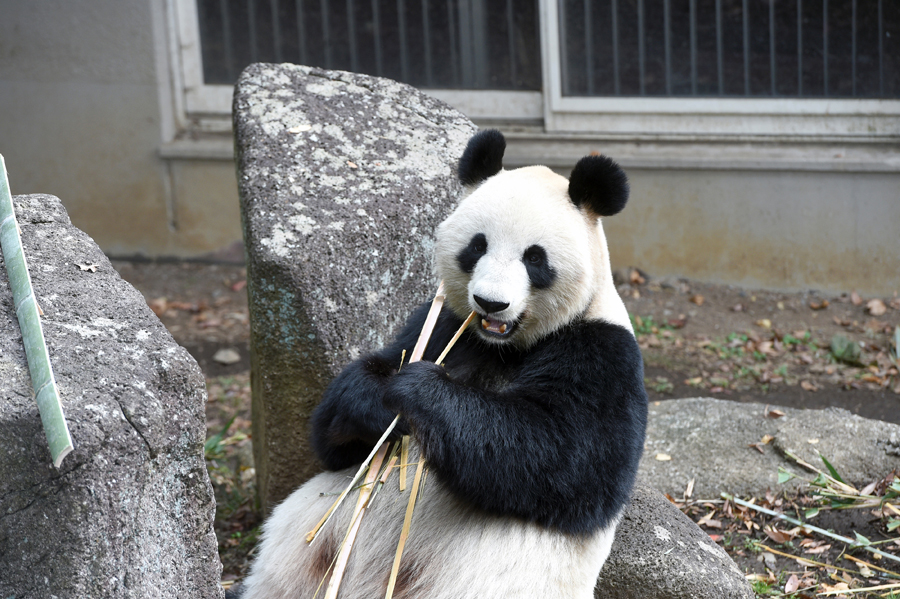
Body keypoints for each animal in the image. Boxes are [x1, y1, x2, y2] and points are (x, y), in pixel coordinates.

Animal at [239, 129, 648, 596]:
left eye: (535, 258)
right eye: (477, 246)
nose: (490, 302)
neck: (501, 346)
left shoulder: (601, 352)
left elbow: (565, 459)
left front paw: (419, 391)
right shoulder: (441, 324)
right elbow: (335, 440)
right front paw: (378, 402)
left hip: (480, 581)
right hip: (301, 552)